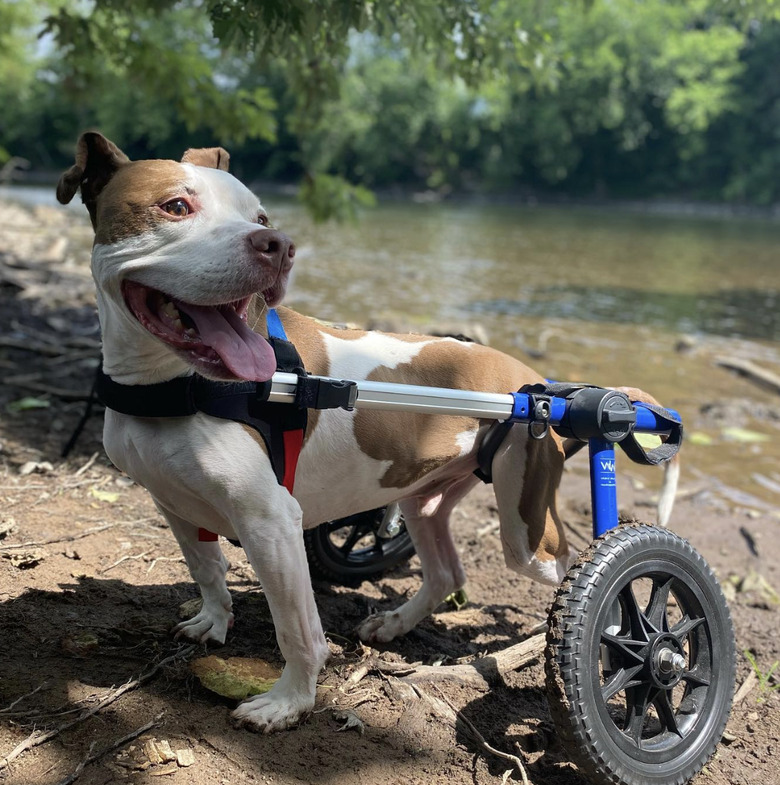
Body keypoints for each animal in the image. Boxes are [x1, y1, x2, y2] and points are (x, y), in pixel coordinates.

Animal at [56, 132, 676, 732]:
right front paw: (212, 621)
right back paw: (397, 624)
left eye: (260, 216)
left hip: (527, 527)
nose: (277, 244)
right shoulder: (172, 500)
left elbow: (297, 629)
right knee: (446, 570)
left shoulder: (270, 522)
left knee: (576, 575)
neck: (170, 382)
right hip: (425, 499)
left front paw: (290, 703)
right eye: (175, 206)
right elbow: (206, 568)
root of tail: (540, 384)